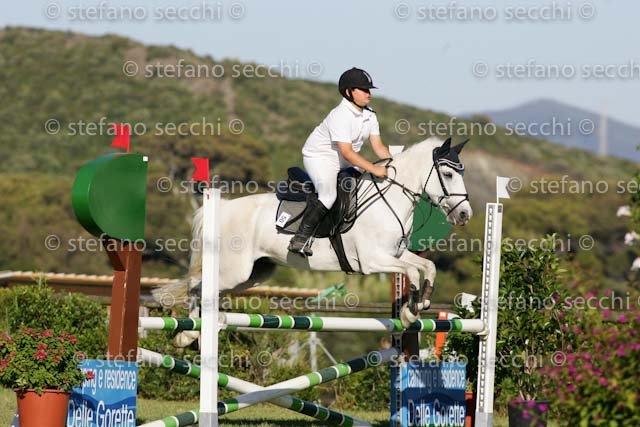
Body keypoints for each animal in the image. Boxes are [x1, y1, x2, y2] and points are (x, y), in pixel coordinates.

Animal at [154, 137, 472, 347]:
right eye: (447, 174)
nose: (465, 214)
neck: (389, 198)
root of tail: (223, 208)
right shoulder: (372, 261)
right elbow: (412, 272)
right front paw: (410, 311)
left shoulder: (395, 254)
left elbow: (426, 266)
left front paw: (420, 303)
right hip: (233, 271)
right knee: (196, 287)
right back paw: (188, 333)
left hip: (253, 274)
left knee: (208, 290)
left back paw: (195, 330)